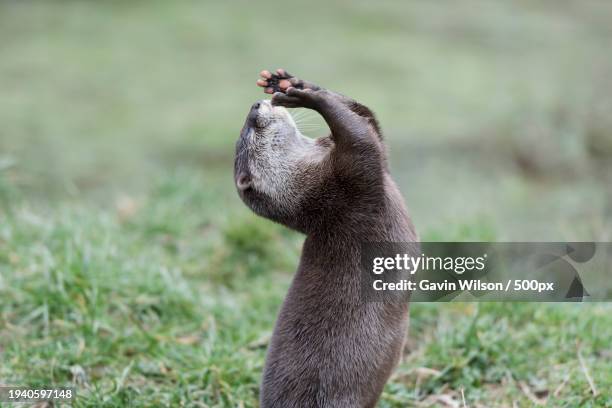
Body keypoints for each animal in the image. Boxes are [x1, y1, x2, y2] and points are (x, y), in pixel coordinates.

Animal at [233, 68, 416, 406]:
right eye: (250, 130)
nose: (254, 106)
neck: (316, 192)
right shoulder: (353, 181)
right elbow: (359, 136)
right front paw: (310, 97)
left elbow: (368, 120)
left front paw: (293, 83)